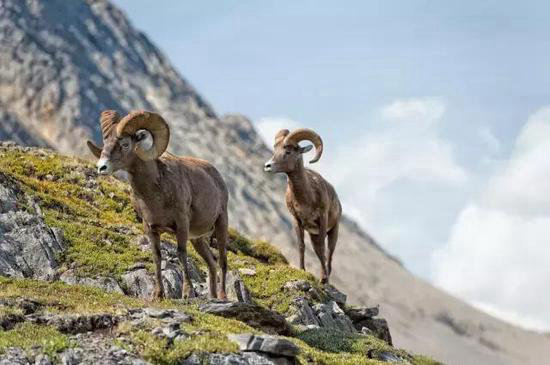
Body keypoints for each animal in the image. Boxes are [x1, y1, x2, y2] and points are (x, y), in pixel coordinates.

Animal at [87, 109, 230, 298]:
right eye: (105, 143)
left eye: (125, 144)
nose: (101, 167)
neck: (155, 195)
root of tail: (217, 176)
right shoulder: (150, 228)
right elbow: (157, 257)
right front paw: (157, 294)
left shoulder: (181, 224)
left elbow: (181, 254)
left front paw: (187, 293)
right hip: (197, 239)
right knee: (212, 263)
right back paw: (213, 297)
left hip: (221, 224)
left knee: (222, 261)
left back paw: (222, 296)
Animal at [266, 129, 342, 282]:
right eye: (275, 149)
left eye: (288, 151)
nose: (267, 166)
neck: (306, 198)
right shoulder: (296, 220)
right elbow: (301, 245)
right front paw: (302, 270)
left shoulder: (322, 218)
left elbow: (323, 248)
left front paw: (323, 278)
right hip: (313, 234)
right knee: (318, 251)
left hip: (333, 231)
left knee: (329, 253)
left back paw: (327, 277)